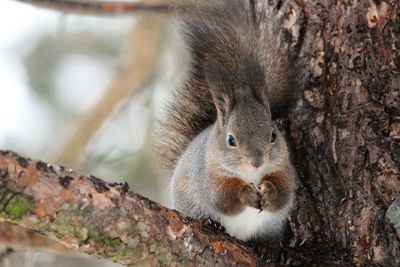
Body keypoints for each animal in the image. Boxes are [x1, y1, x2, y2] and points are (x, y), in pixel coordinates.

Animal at [155, 0, 298, 245]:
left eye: (273, 135)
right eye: (231, 140)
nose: (257, 162)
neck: (251, 176)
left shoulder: (284, 168)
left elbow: (284, 192)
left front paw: (269, 192)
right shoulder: (209, 175)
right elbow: (223, 197)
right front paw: (247, 194)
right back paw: (213, 224)